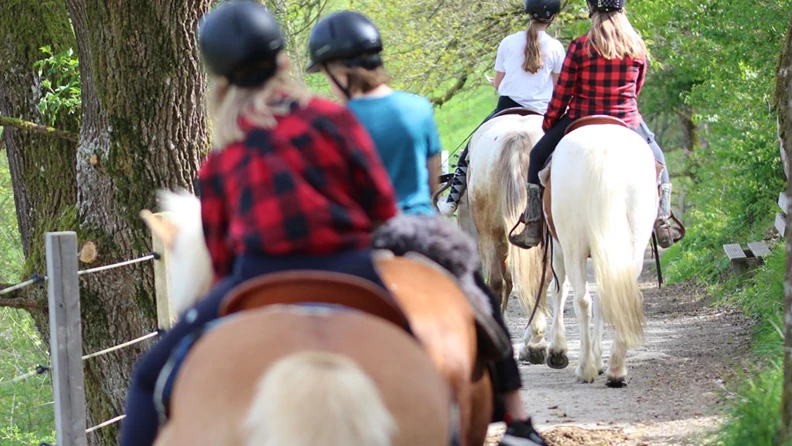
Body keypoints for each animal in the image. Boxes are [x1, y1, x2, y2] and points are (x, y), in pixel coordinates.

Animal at [540, 117, 660, 386]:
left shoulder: (559, 247)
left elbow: (558, 290)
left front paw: (558, 351)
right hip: (633, 245)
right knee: (614, 292)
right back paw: (616, 369)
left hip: (572, 245)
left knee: (582, 299)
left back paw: (585, 368)